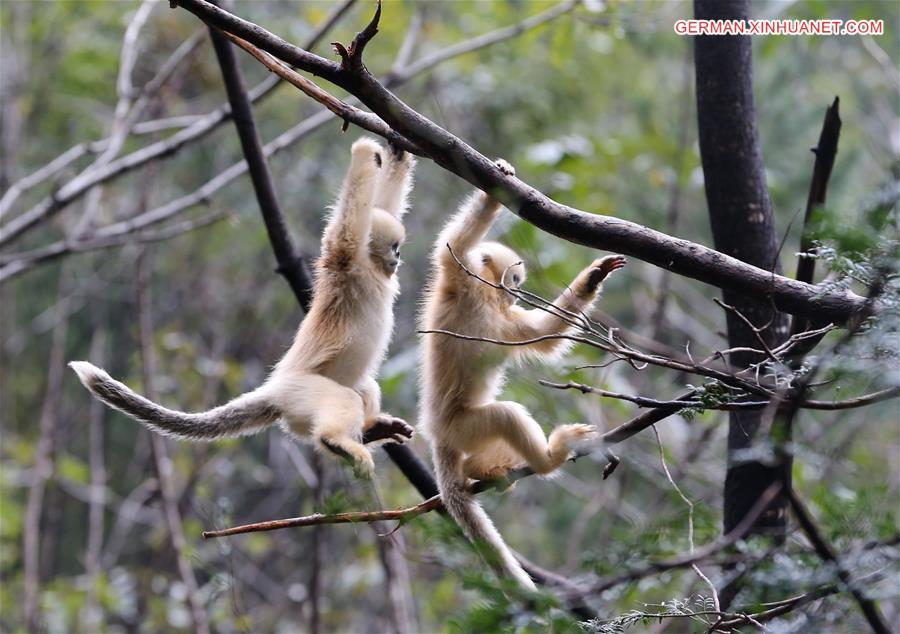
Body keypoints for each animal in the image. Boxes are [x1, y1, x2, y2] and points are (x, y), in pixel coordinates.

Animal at [70, 137, 416, 479]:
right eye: (394, 248)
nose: (398, 259)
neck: (370, 270)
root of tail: (274, 390)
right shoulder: (345, 261)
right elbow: (345, 232)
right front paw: (364, 151)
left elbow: (383, 203)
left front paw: (396, 152)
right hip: (303, 390)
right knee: (342, 400)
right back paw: (338, 442)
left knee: (364, 389)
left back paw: (370, 432)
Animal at [419, 159, 626, 590]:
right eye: (513, 279)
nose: (515, 290)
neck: (485, 298)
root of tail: (437, 436)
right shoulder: (458, 279)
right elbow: (454, 245)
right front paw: (494, 184)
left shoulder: (507, 320)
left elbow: (544, 335)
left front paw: (594, 277)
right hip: (465, 427)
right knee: (507, 415)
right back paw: (551, 457)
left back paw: (485, 471)